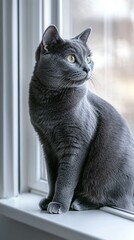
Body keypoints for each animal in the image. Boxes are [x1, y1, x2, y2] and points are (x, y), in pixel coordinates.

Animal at [29, 24, 134, 214]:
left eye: (88, 58)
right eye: (71, 58)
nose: (87, 68)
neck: (48, 101)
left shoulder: (76, 144)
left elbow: (65, 179)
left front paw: (58, 204)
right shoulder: (46, 144)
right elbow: (52, 177)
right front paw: (49, 200)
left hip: (105, 170)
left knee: (110, 200)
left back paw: (78, 203)